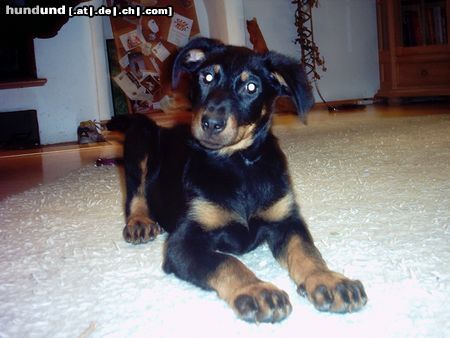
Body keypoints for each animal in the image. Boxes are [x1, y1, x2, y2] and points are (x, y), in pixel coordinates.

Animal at [110, 37, 368, 322]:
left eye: (251, 87)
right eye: (207, 77)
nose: (211, 122)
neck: (237, 163)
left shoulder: (286, 219)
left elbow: (307, 251)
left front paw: (329, 280)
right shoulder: (182, 243)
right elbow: (227, 262)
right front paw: (257, 290)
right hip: (140, 135)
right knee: (135, 194)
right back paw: (139, 222)